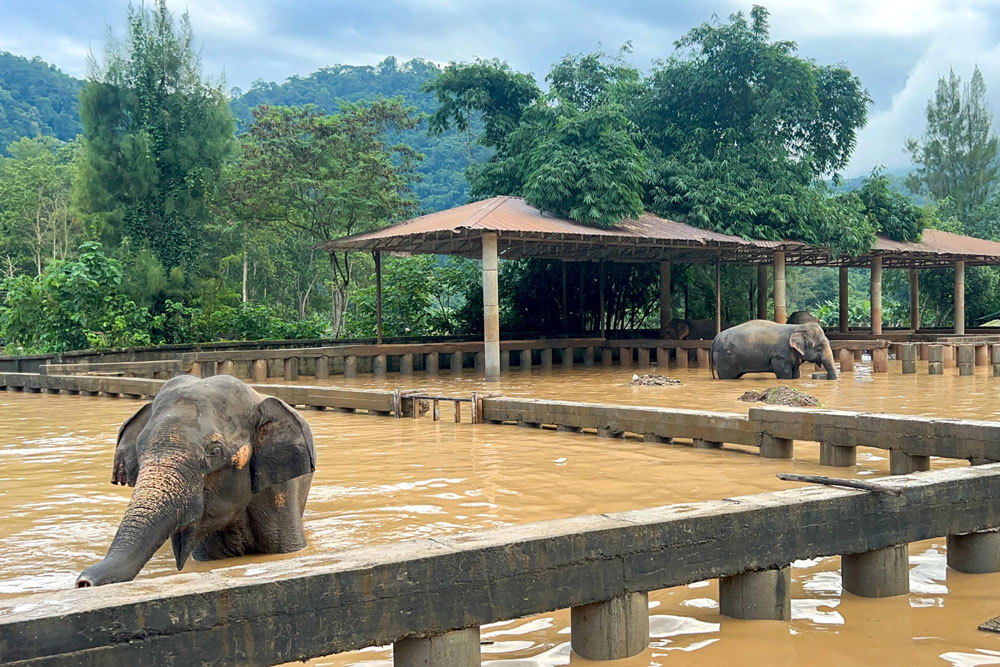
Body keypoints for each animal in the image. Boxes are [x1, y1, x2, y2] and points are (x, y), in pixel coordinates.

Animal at [708, 320, 840, 380]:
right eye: (819, 347)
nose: (824, 376)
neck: (797, 327)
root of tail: (716, 337)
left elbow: (796, 373)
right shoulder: (780, 355)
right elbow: (784, 373)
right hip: (725, 357)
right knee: (727, 376)